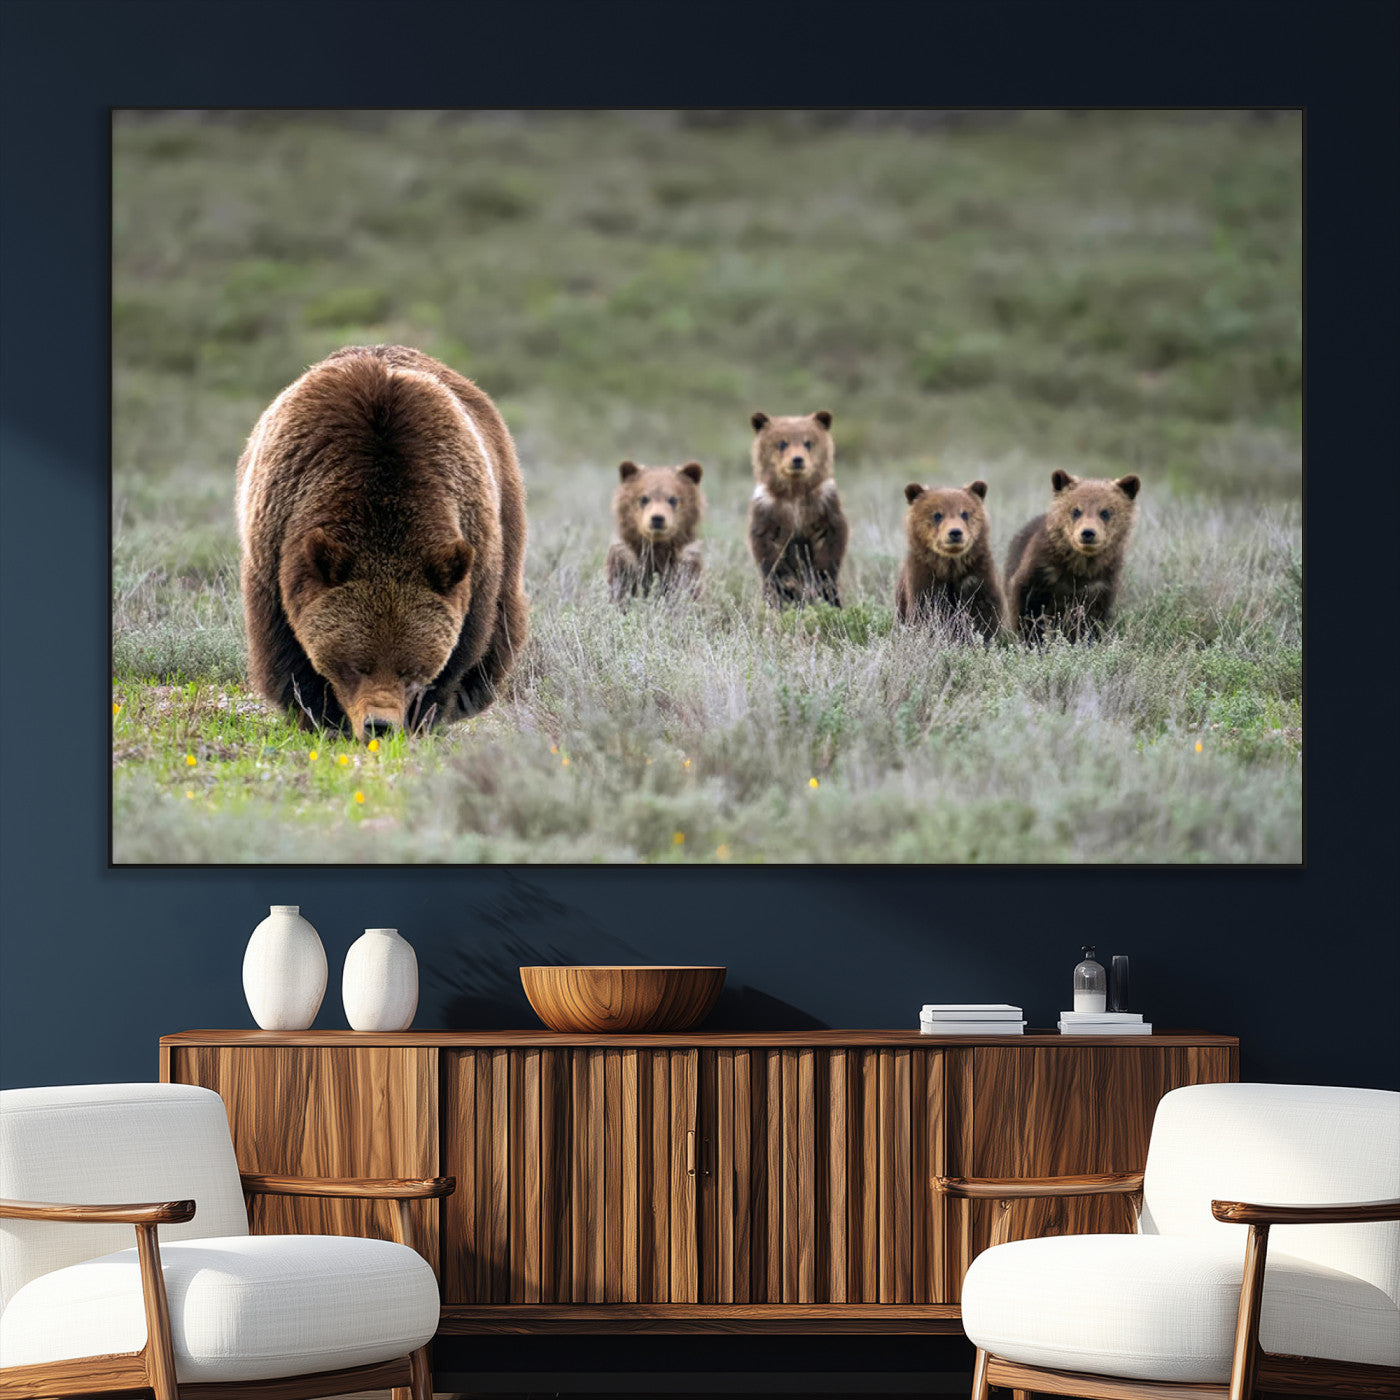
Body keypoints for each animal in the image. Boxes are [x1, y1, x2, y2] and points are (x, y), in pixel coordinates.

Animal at [235, 344, 529, 740]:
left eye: (410, 668)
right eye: (357, 664)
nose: (380, 725)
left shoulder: (474, 549)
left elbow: (463, 649)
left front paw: (424, 716)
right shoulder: (277, 542)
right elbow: (286, 649)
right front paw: (320, 716)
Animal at [605, 460, 705, 603]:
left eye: (673, 499)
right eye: (644, 498)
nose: (657, 518)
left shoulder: (686, 563)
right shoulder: (625, 562)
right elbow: (620, 590)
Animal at [747, 410, 848, 607]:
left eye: (808, 442)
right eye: (782, 443)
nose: (797, 459)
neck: (794, 494)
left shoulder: (824, 505)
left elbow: (831, 541)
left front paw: (820, 579)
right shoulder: (768, 510)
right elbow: (767, 549)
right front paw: (787, 584)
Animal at [894, 479, 1004, 641]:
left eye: (964, 513)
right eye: (937, 515)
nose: (955, 532)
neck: (950, 566)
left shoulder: (977, 575)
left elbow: (983, 614)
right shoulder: (924, 579)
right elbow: (925, 613)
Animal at [1004, 469, 1141, 643]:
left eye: (1105, 512)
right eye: (1076, 510)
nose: (1088, 533)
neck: (1079, 567)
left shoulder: (1100, 584)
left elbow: (1092, 619)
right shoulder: (1040, 573)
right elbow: (1027, 608)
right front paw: (1033, 639)